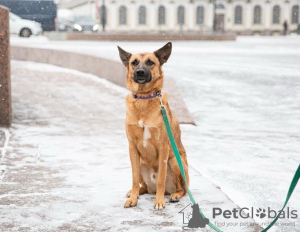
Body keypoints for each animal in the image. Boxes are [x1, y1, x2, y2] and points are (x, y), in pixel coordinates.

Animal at [118, 42, 190, 210]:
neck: (144, 99)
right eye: (134, 62)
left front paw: (159, 201)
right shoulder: (132, 148)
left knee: (182, 188)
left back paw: (175, 195)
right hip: (140, 163)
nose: (140, 72)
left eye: (150, 62)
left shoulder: (163, 147)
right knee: (142, 185)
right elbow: (134, 178)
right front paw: (133, 198)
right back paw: (135, 192)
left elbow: (161, 179)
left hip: (175, 161)